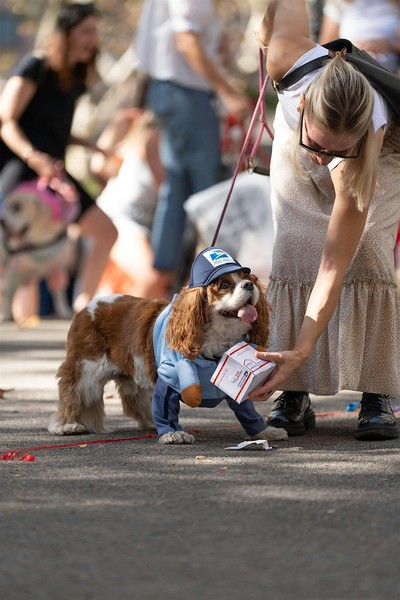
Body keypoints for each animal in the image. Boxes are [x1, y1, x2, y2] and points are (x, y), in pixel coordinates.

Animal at [50, 246, 288, 442]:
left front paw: (264, 432)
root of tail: (85, 308)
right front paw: (173, 433)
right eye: (225, 284)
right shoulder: (169, 376)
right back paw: (66, 425)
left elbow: (246, 409)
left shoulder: (231, 381)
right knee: (72, 391)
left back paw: (149, 422)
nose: (249, 285)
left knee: (136, 400)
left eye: (249, 278)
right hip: (87, 368)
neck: (214, 337)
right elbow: (166, 406)